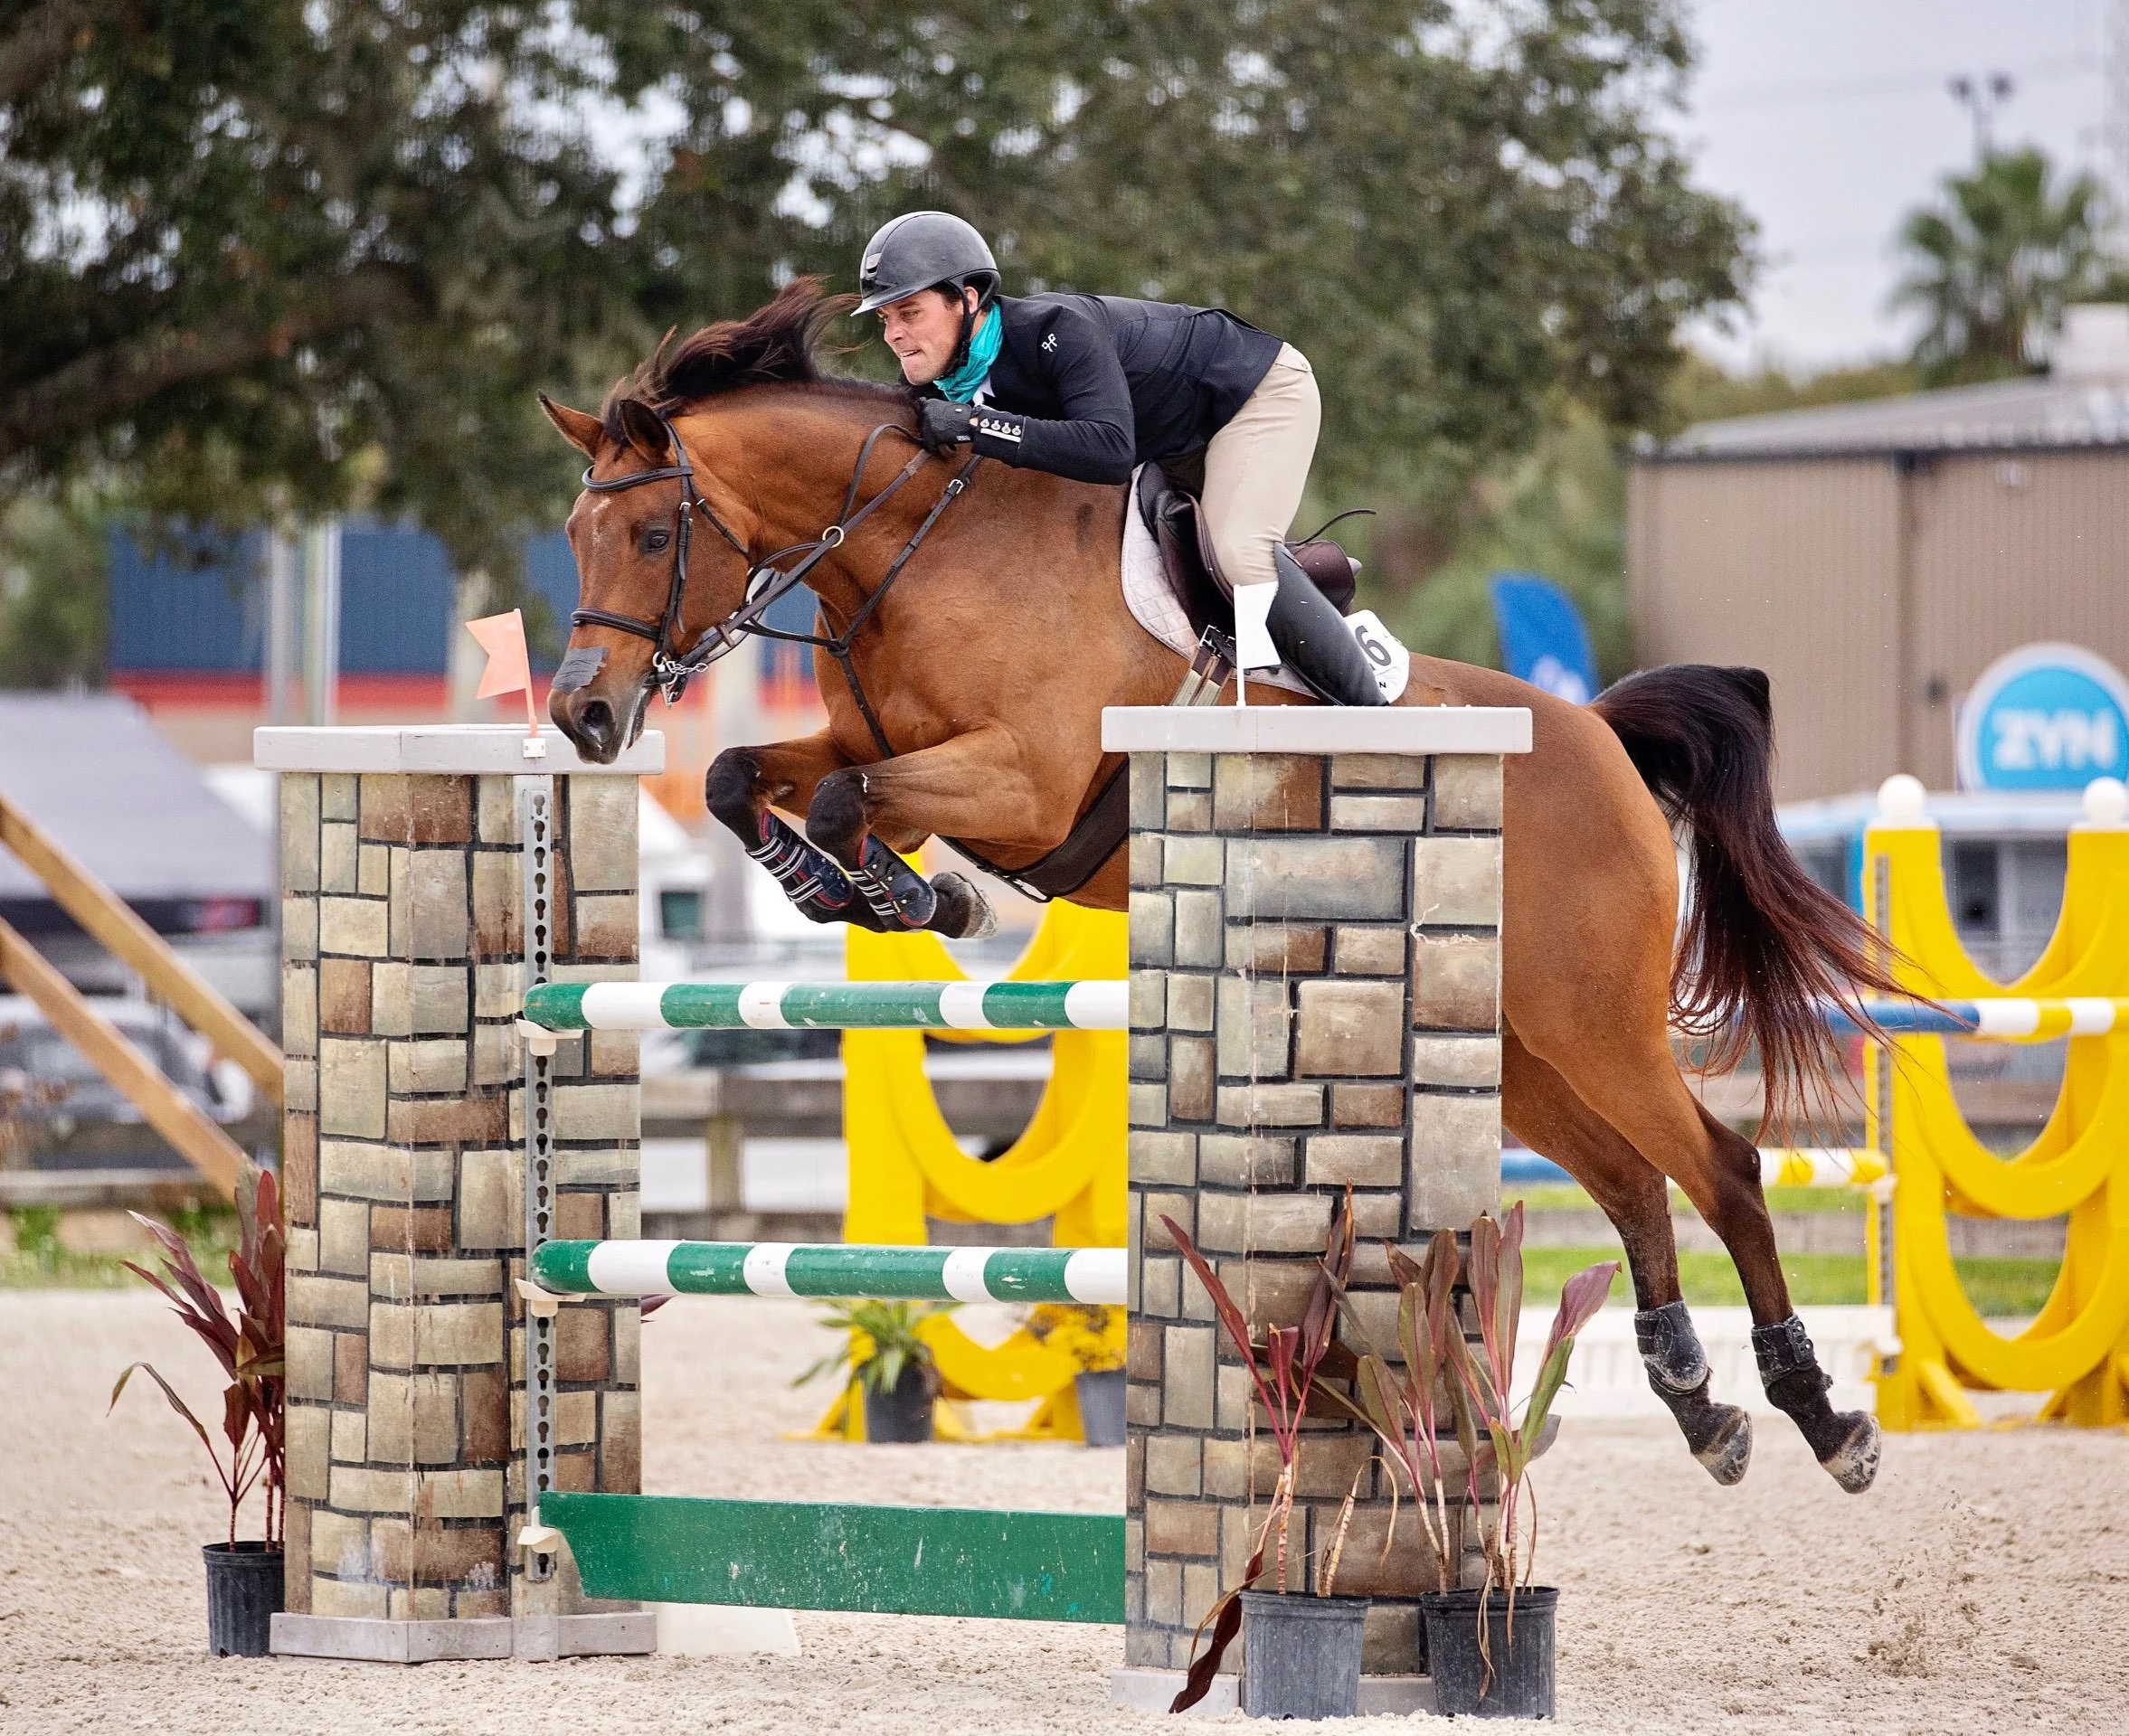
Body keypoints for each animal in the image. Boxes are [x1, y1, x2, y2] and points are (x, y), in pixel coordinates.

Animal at [539, 279, 1900, 1493]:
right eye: (571, 539)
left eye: (653, 535)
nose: (583, 718)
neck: (909, 545)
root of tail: (1601, 737)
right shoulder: (876, 751)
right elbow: (746, 777)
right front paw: (873, 894)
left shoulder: (1025, 784)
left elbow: (846, 802)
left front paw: (911, 899)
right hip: (1515, 1041)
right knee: (1629, 1183)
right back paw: (1701, 1410)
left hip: (1591, 1011)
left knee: (1720, 1170)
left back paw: (1821, 1419)